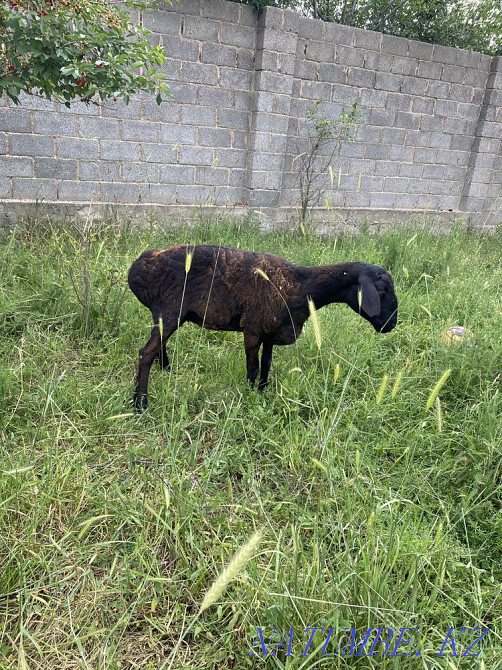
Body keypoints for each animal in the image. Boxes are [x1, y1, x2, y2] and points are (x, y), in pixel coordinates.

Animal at [128, 243, 398, 409]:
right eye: (381, 290)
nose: (391, 324)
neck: (302, 287)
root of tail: (140, 265)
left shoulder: (270, 332)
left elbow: (266, 364)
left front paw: (262, 391)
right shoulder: (253, 329)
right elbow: (253, 367)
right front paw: (249, 395)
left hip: (168, 314)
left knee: (159, 345)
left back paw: (166, 370)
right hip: (171, 310)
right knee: (145, 353)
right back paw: (140, 403)